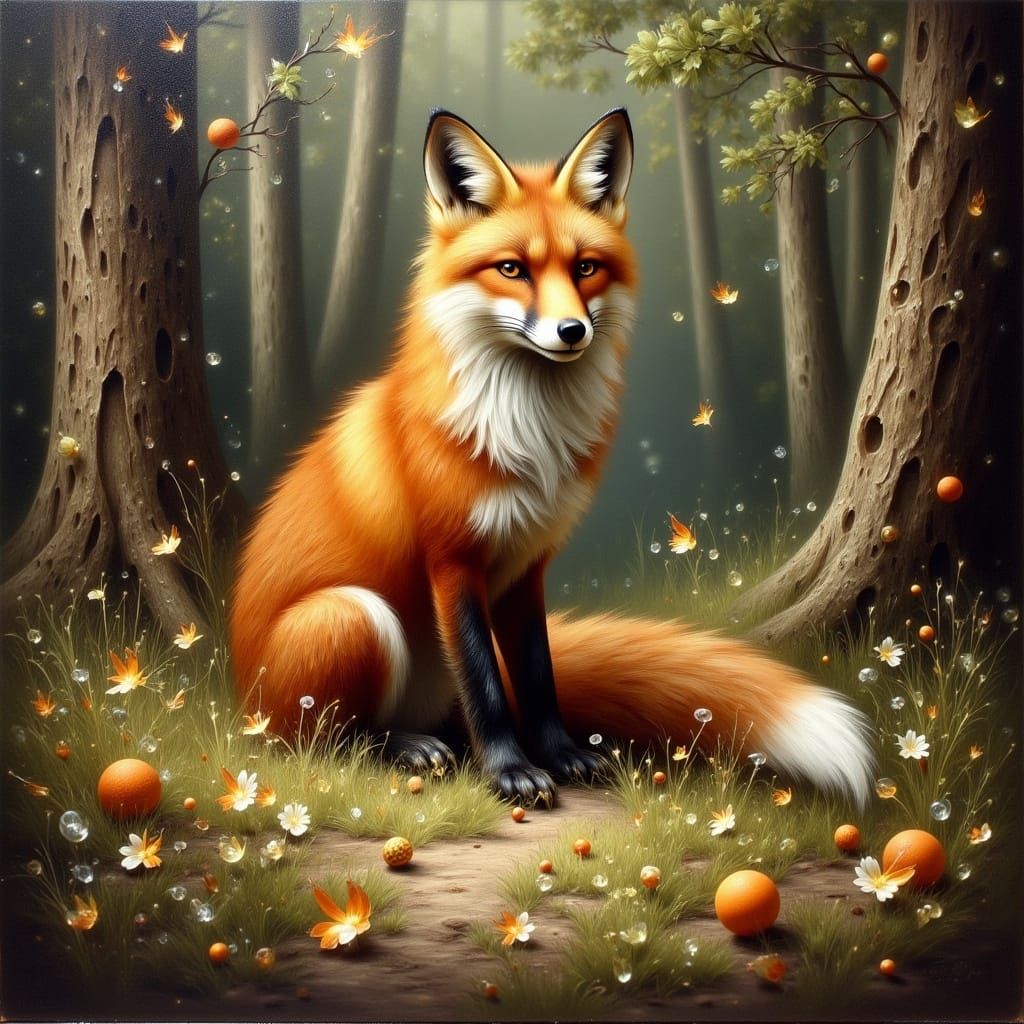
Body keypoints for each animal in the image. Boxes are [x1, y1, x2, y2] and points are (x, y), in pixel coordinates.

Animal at [230, 108, 873, 807]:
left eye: (586, 267)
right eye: (513, 270)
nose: (572, 332)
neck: (525, 438)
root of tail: (242, 700)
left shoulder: (526, 565)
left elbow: (537, 678)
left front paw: (561, 754)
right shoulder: (453, 562)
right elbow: (487, 685)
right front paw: (510, 771)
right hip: (353, 616)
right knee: (326, 743)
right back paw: (405, 747)